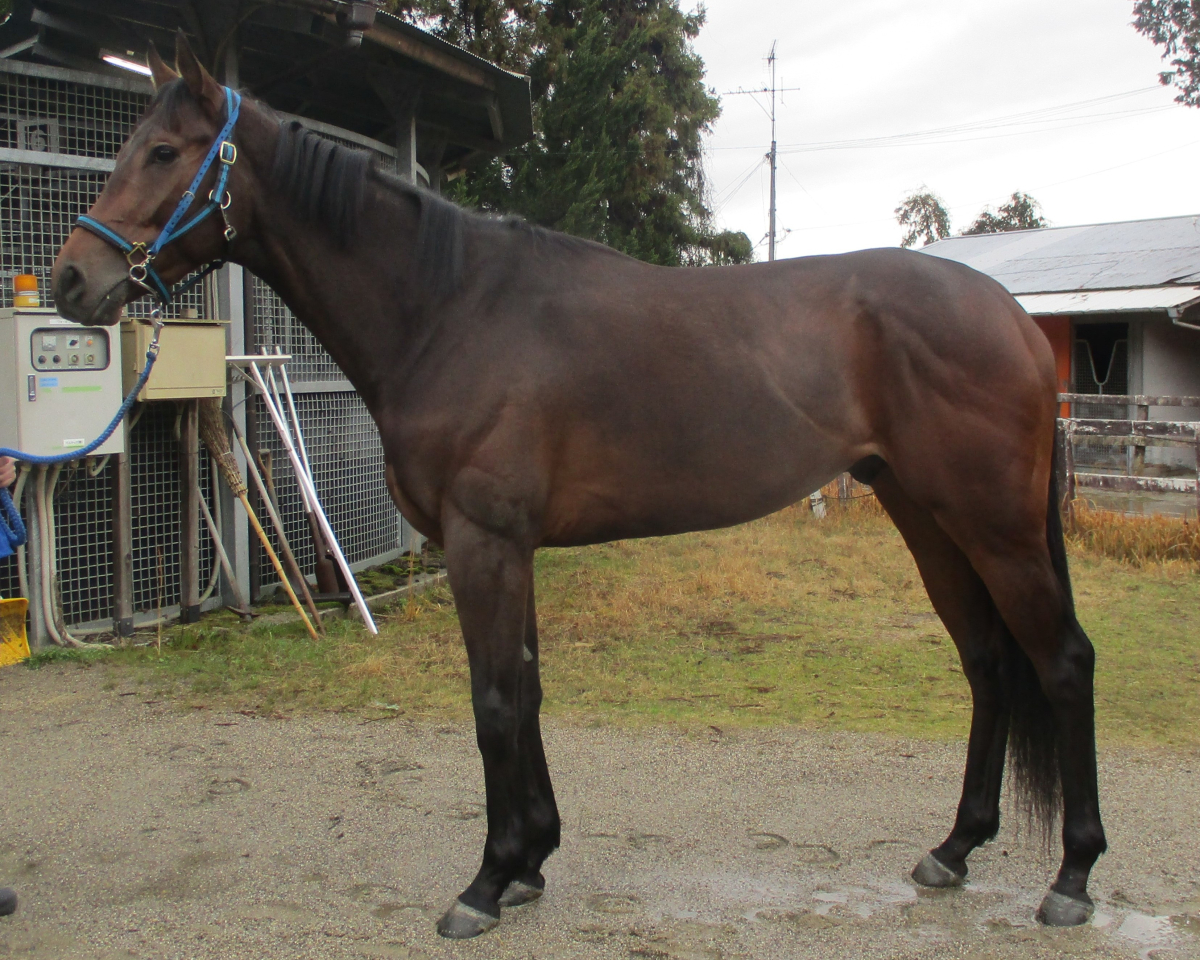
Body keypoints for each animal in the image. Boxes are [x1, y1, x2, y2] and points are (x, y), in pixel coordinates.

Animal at [52, 34, 1106, 940]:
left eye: (164, 151)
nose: (69, 280)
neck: (449, 307)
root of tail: (1012, 317)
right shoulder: (508, 547)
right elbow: (527, 687)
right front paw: (531, 862)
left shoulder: (482, 541)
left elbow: (493, 700)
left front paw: (485, 880)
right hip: (927, 519)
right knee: (988, 665)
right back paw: (954, 850)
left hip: (995, 526)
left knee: (1060, 662)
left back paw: (1072, 878)